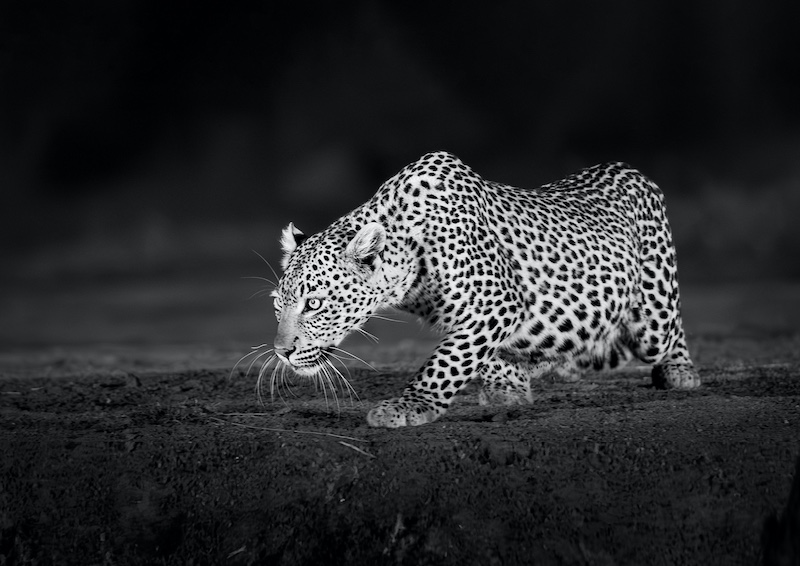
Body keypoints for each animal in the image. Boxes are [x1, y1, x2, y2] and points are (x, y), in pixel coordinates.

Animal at [269, 151, 699, 428]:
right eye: (278, 305)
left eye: (315, 303)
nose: (281, 352)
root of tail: (630, 169)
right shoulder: (482, 316)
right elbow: (480, 353)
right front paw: (506, 387)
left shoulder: (497, 304)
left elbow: (447, 362)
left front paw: (410, 406)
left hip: (654, 318)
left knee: (668, 331)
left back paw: (680, 371)